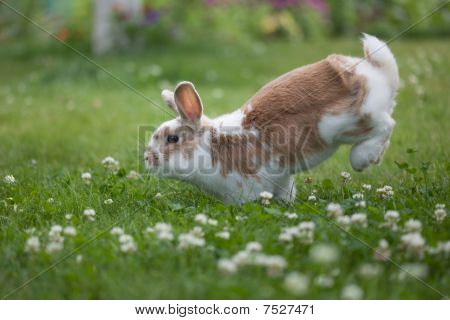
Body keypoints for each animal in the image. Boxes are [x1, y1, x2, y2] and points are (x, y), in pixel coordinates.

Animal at [146, 34, 400, 202]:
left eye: (172, 139)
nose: (148, 159)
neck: (212, 146)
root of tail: (375, 72)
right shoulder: (282, 177)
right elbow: (285, 192)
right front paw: (287, 204)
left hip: (347, 123)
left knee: (386, 125)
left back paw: (363, 158)